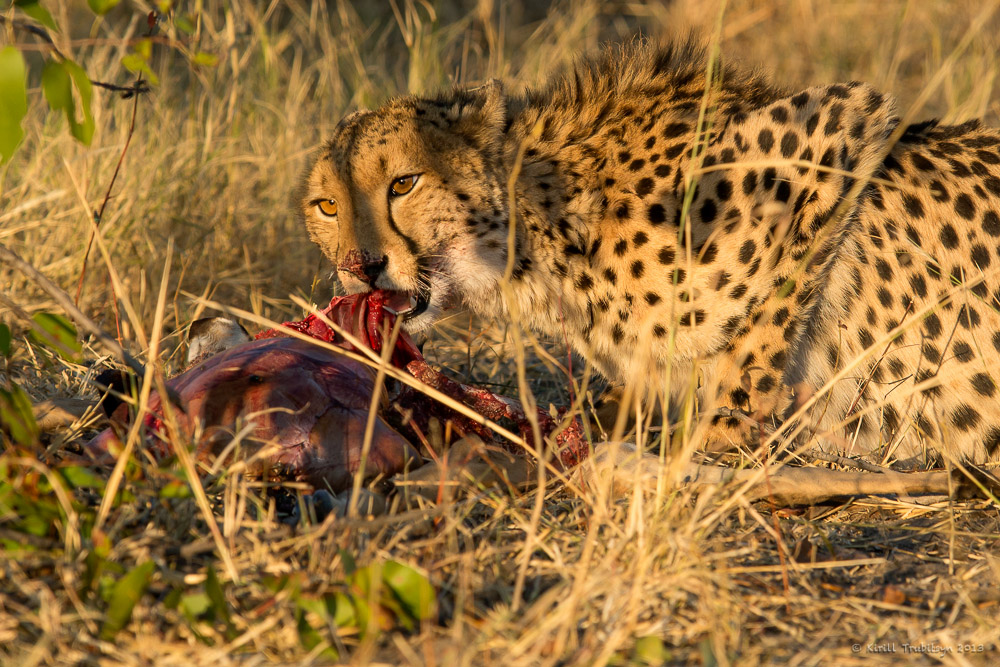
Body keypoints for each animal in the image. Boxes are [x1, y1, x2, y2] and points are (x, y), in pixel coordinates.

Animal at [298, 41, 1000, 468]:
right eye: (327, 206)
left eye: (404, 183)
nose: (361, 268)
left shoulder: (842, 123)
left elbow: (754, 348)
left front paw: (724, 437)